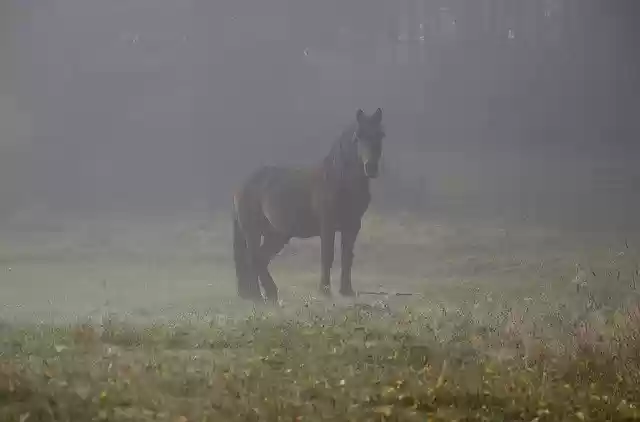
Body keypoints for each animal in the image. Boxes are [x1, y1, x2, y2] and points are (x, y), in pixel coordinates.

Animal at [232, 108, 386, 303]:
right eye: (357, 137)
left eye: (380, 135)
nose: (370, 167)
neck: (338, 180)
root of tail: (242, 183)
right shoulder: (327, 225)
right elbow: (327, 256)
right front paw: (325, 291)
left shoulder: (352, 226)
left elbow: (347, 257)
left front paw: (346, 291)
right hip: (253, 230)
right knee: (254, 258)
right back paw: (262, 295)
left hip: (276, 234)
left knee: (260, 259)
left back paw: (260, 293)